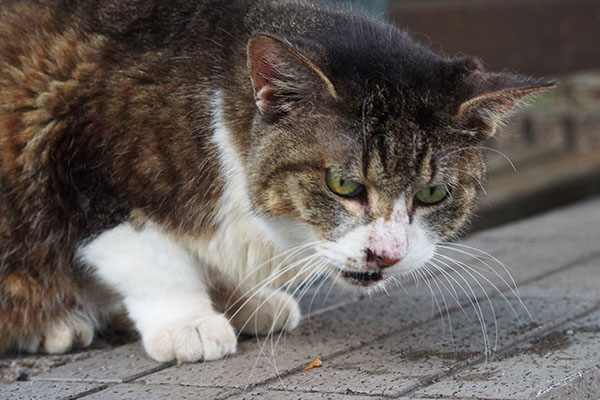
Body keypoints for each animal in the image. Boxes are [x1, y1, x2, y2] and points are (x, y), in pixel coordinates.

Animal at [0, 0, 552, 362]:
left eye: (432, 193)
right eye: (344, 185)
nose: (387, 254)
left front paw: (244, 301)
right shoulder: (81, 165)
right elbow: (147, 253)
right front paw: (188, 321)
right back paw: (55, 323)